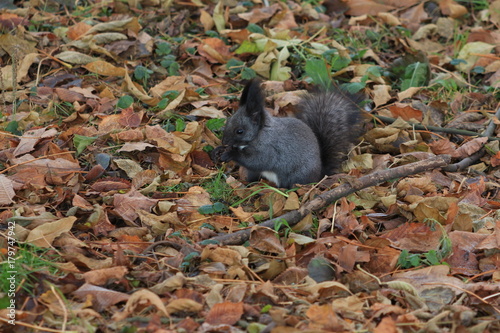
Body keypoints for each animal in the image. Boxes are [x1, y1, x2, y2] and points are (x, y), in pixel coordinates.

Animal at [213, 78, 366, 187]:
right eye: (228, 121)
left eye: (240, 131)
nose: (224, 141)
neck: (260, 134)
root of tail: (319, 175)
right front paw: (219, 150)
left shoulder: (269, 149)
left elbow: (257, 160)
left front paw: (230, 154)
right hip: (254, 174)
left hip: (294, 177)